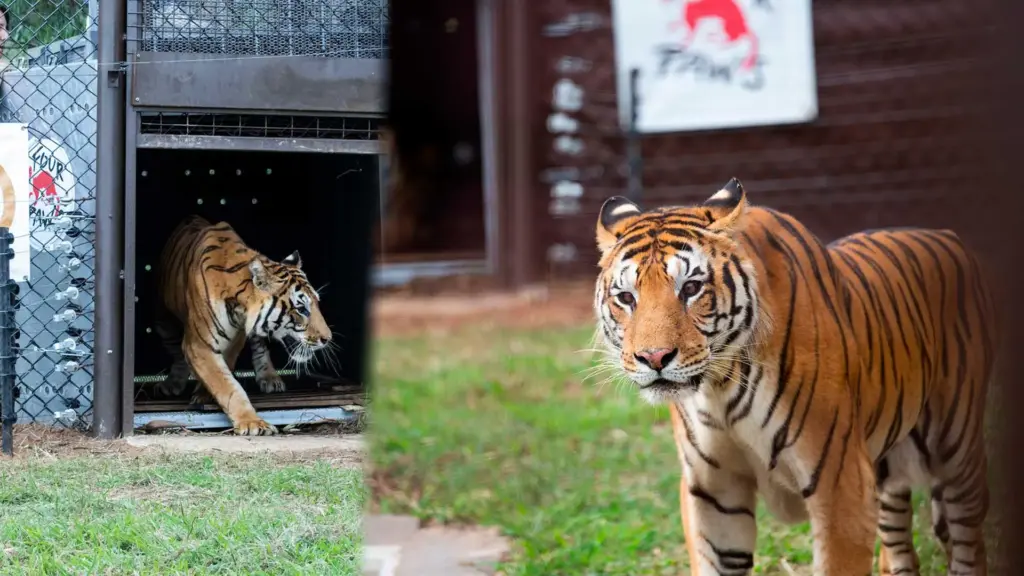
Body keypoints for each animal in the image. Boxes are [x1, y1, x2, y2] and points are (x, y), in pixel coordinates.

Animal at [154, 215, 332, 436]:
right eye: (301, 309)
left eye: (316, 303)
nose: (327, 338)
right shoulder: (199, 343)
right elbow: (226, 384)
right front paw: (253, 423)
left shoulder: (235, 337)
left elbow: (226, 373)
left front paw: (205, 395)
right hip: (164, 320)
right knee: (176, 352)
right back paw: (173, 384)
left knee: (259, 345)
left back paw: (270, 378)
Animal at [593, 179, 996, 576]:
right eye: (626, 297)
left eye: (690, 288)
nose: (654, 357)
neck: (720, 387)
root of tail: (947, 235)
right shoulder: (712, 490)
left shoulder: (841, 484)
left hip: (958, 454)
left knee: (969, 546)